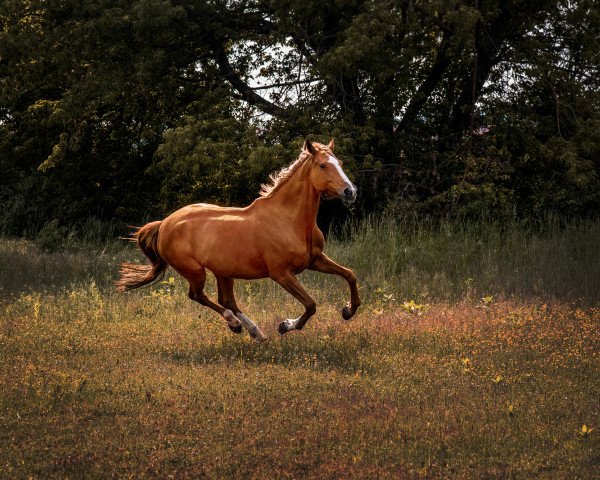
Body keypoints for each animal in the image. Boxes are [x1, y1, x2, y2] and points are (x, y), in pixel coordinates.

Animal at [117, 139, 360, 342]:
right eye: (322, 165)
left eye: (339, 163)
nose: (350, 191)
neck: (289, 221)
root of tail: (165, 223)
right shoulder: (281, 273)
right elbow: (310, 304)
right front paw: (285, 325)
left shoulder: (315, 260)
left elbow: (350, 274)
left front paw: (348, 311)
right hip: (195, 271)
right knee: (198, 296)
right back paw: (235, 324)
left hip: (223, 271)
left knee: (226, 300)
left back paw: (256, 332)